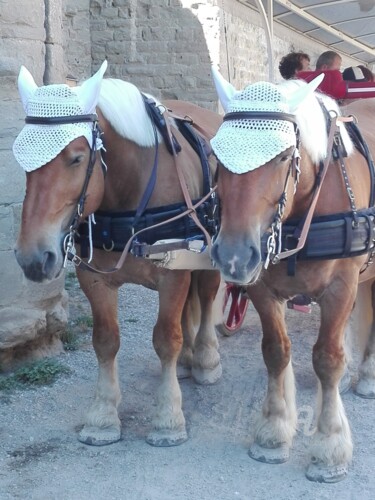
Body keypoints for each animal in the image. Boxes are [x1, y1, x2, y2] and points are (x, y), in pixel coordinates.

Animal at [12, 60, 223, 448]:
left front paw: (168, 417)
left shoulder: (173, 274)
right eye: (21, 157)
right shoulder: (94, 278)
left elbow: (166, 339)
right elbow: (106, 342)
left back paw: (204, 359)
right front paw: (103, 415)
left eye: (77, 158)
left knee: (206, 295)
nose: (33, 257)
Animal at [210, 69, 375, 480]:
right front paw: (274, 430)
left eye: (284, 156)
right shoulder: (262, 288)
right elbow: (275, 351)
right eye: (215, 154)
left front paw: (329, 447)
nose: (234, 256)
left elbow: (328, 359)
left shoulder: (341, 288)